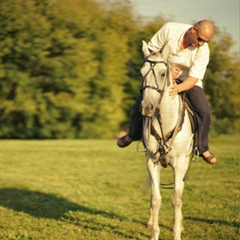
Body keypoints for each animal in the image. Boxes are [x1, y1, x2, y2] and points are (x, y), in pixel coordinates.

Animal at [141, 41, 193, 240]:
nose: (146, 107)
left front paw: (177, 232)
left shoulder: (180, 163)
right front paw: (154, 233)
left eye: (163, 73)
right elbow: (156, 199)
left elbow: (176, 199)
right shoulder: (151, 161)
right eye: (141, 72)